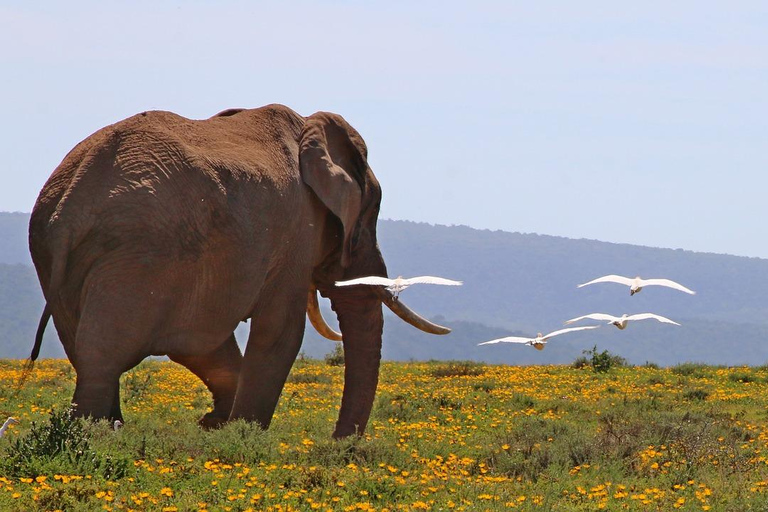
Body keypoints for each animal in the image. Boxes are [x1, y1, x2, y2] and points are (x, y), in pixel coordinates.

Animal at [28, 105, 450, 440]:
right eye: (367, 218)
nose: (339, 443)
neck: (309, 128)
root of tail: (69, 203)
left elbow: (210, 341)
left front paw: (216, 424)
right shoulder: (296, 231)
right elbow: (280, 331)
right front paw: (242, 433)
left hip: (67, 262)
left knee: (90, 349)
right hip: (137, 253)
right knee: (102, 355)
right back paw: (96, 433)